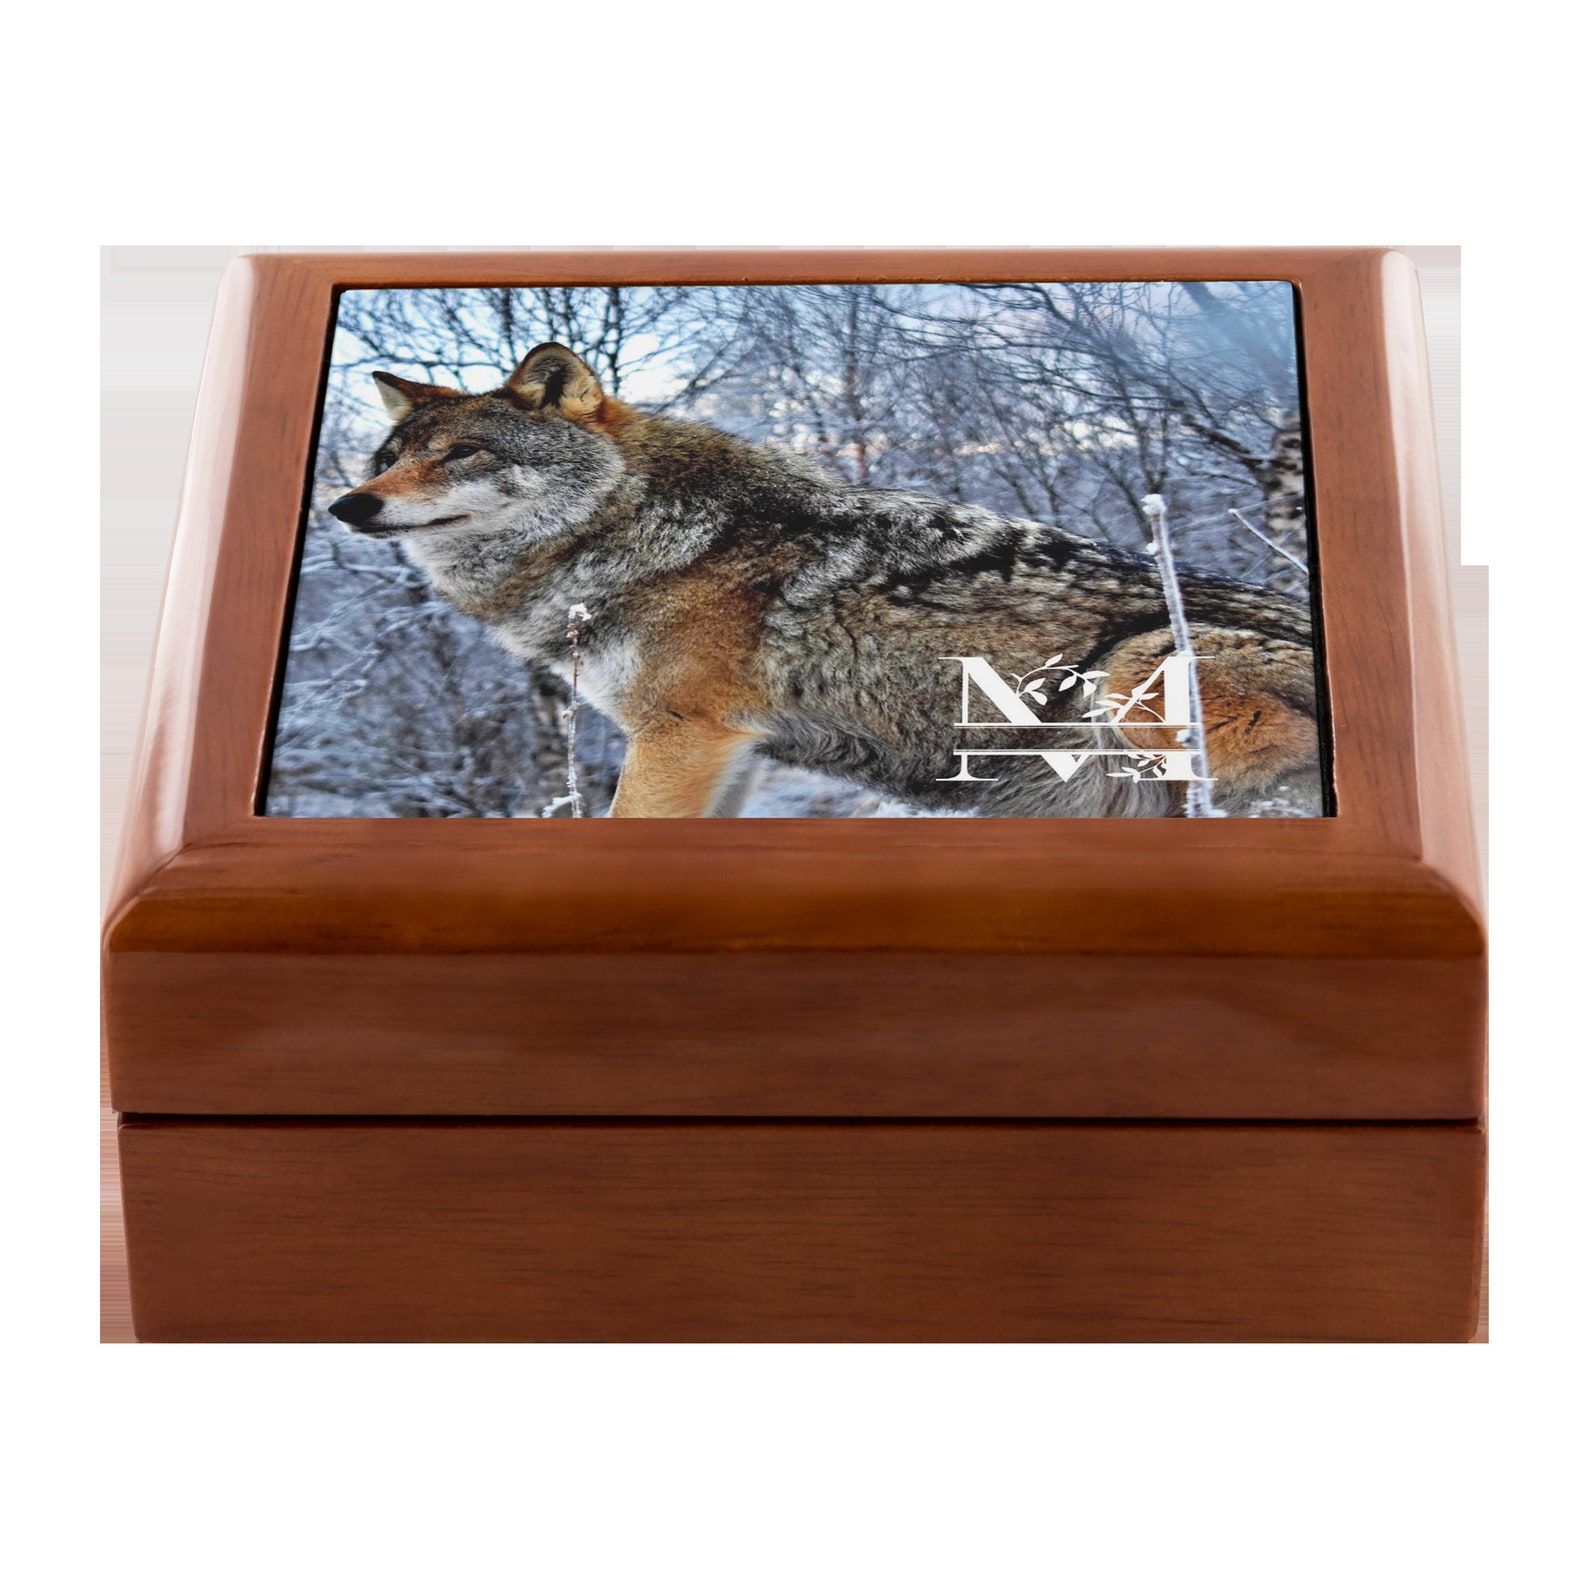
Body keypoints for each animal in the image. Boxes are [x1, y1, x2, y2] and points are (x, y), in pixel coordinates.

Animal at [327, 344, 1324, 817]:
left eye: (462, 454)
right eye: (389, 457)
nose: (348, 504)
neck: (644, 534)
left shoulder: (682, 737)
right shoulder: (730, 750)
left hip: (1132, 675)